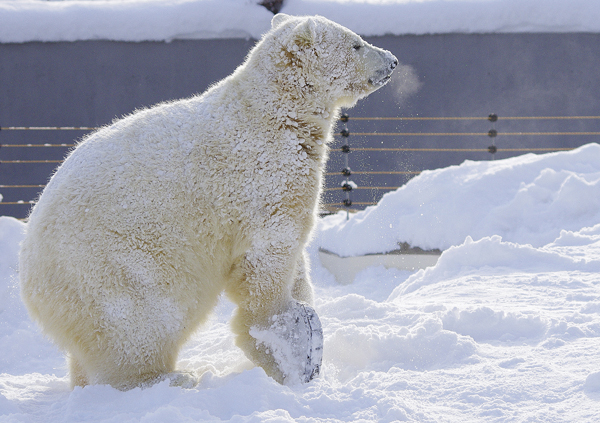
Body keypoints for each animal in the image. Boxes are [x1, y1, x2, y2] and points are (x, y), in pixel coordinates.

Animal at [18, 13, 398, 390]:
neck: (275, 114)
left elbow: (295, 258)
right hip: (116, 264)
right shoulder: (262, 180)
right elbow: (266, 259)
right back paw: (168, 377)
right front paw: (292, 344)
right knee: (145, 321)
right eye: (356, 43)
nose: (393, 61)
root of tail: (31, 279)